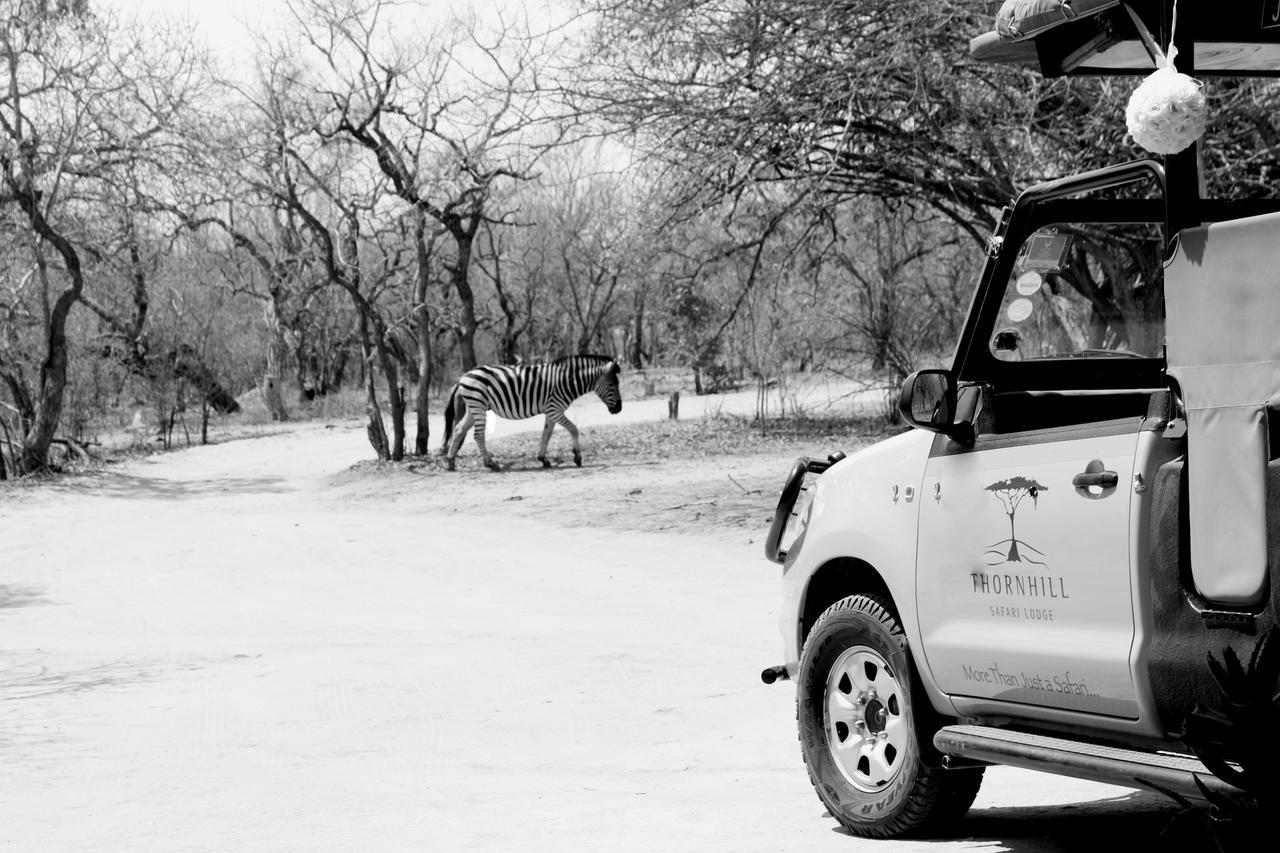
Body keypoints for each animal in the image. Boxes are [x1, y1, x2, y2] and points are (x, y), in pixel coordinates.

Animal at [442, 350, 622, 471]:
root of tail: (464, 376)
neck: (567, 381)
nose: (619, 409)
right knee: (478, 435)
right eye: (612, 385)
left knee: (458, 430)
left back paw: (451, 462)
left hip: (474, 408)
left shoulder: (551, 411)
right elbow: (573, 429)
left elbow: (546, 434)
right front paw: (577, 457)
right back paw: (491, 464)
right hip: (478, 405)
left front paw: (543, 459)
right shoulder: (555, 409)